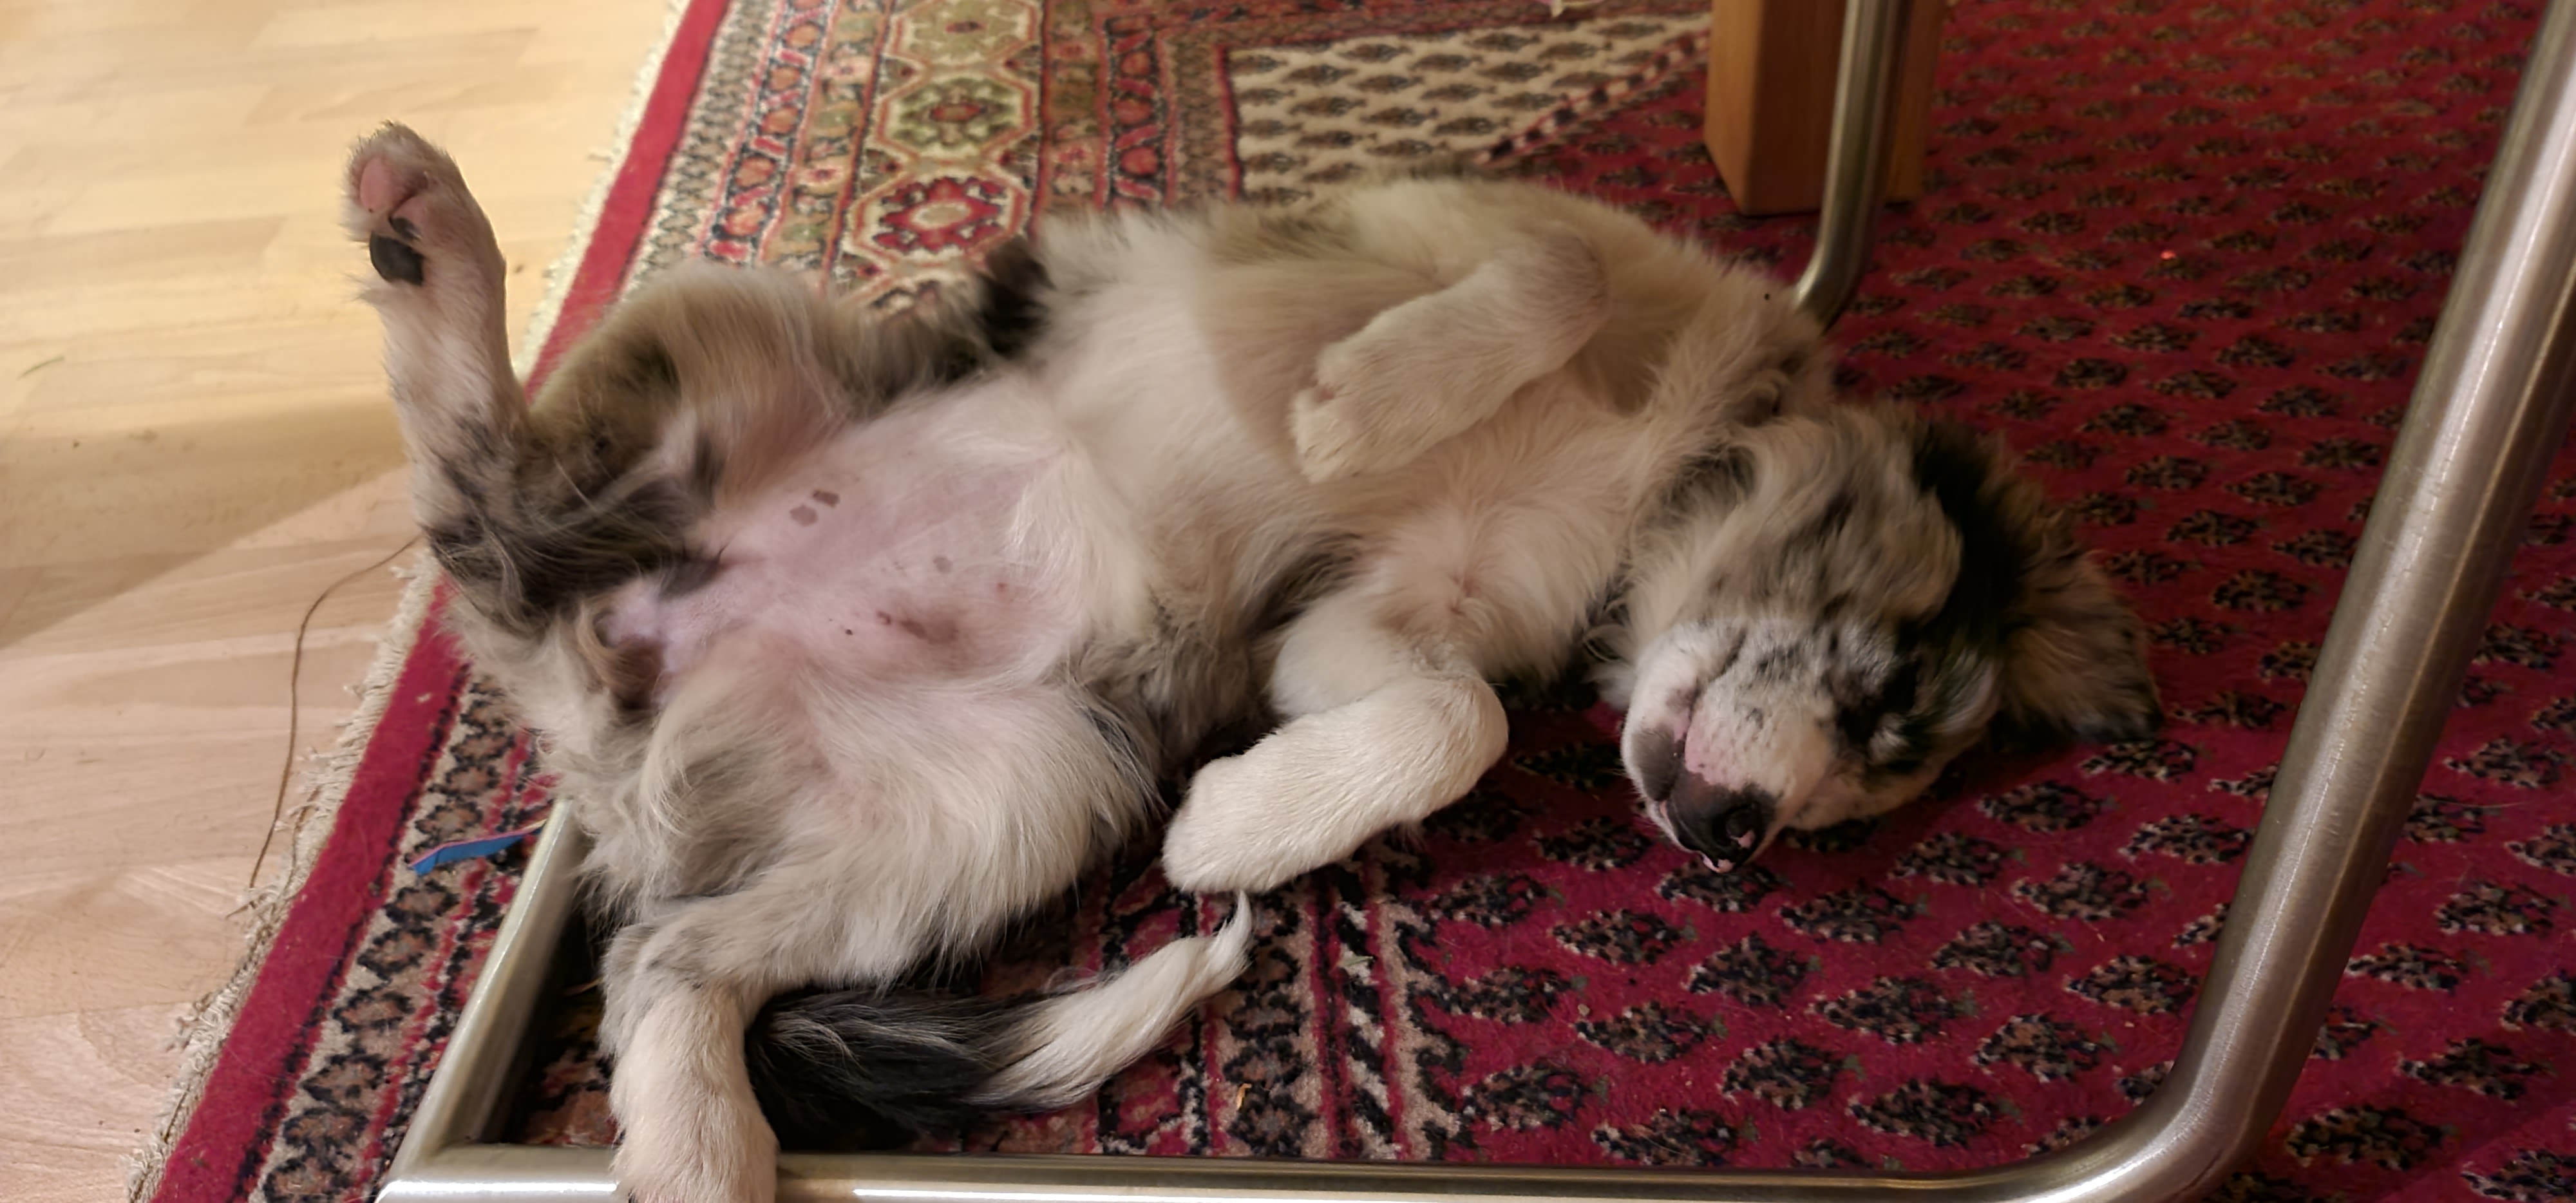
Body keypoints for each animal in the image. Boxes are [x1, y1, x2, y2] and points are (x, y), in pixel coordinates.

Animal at [344, 123, 2157, 1202]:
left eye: (1865, 783)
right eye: (1881, 687)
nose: (1728, 841)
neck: (1652, 472)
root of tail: (600, 706)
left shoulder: (1368, 623)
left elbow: (1453, 713)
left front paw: (1237, 825)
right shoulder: (1409, 232)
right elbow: (1557, 273)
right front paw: (1362, 406)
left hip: (1003, 794)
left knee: (669, 954)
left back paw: (698, 1150)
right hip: (730, 321)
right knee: (488, 485)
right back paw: (428, 233)